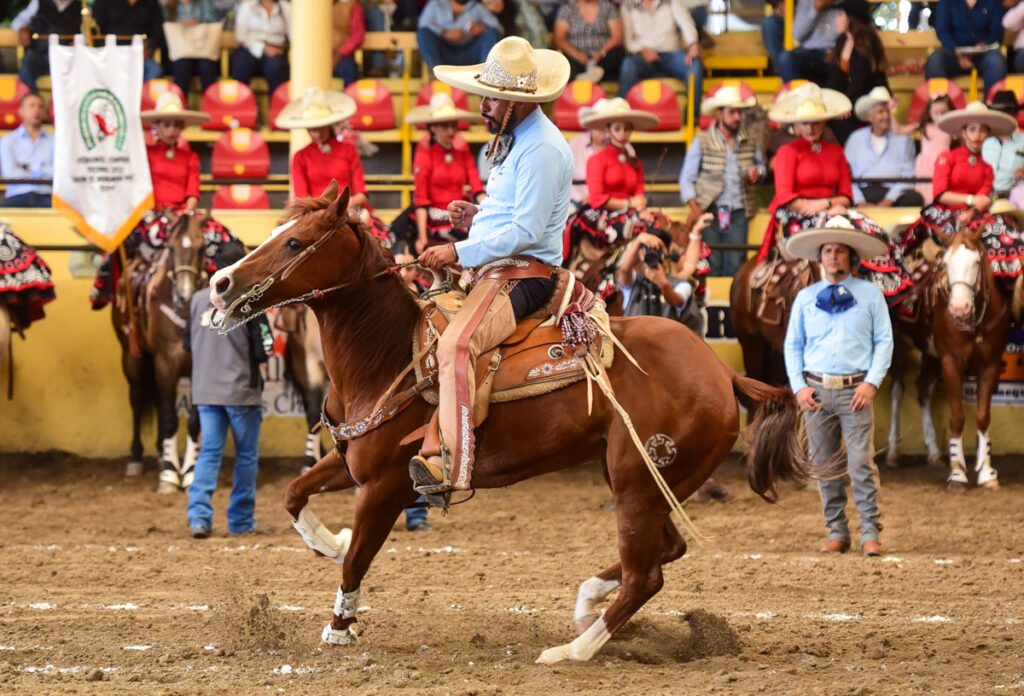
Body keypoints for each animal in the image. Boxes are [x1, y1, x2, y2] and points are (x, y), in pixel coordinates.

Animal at [113, 210, 203, 489]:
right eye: (171, 249)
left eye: (202, 247)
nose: (184, 295)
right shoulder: (166, 362)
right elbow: (169, 417)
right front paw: (169, 475)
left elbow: (194, 420)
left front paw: (191, 471)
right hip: (132, 357)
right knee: (138, 399)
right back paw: (137, 458)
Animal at [209, 183, 815, 663]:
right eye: (277, 230)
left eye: (294, 242)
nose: (220, 283)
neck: (388, 353)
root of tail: (722, 371)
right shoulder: (351, 460)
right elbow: (295, 494)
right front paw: (328, 541)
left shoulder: (386, 486)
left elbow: (359, 559)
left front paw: (339, 626)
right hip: (647, 480)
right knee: (665, 551)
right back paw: (586, 601)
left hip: (640, 482)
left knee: (647, 573)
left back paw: (572, 650)